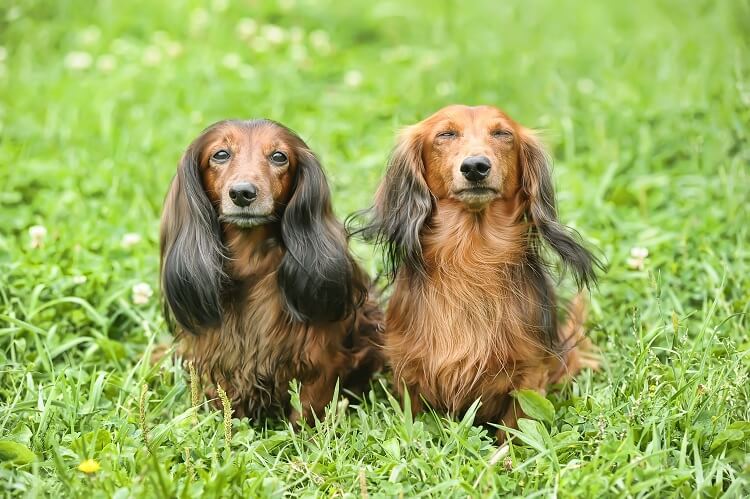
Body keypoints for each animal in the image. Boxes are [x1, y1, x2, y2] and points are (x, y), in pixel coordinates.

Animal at [158, 119, 382, 424]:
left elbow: (307, 411)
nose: (243, 193)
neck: (251, 260)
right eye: (220, 154)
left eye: (279, 156)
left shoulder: (322, 360)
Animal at [360, 104, 604, 438]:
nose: (475, 167)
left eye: (502, 134)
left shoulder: (528, 374)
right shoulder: (409, 370)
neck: (472, 259)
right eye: (445, 134)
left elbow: (516, 427)